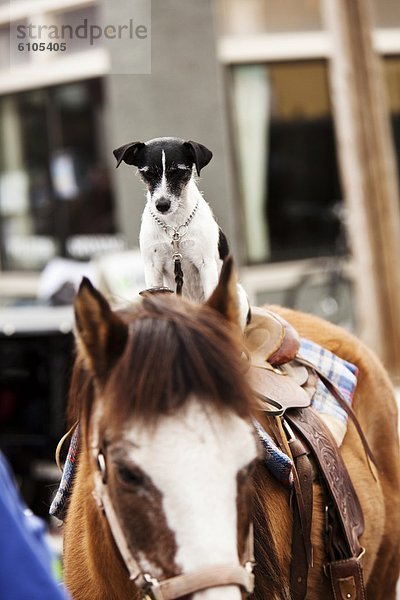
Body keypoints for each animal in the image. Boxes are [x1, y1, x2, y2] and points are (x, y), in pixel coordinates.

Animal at [112, 137, 250, 328]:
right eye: (148, 173)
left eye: (178, 171)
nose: (162, 205)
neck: (174, 228)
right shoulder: (152, 266)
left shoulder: (206, 264)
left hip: (239, 295)